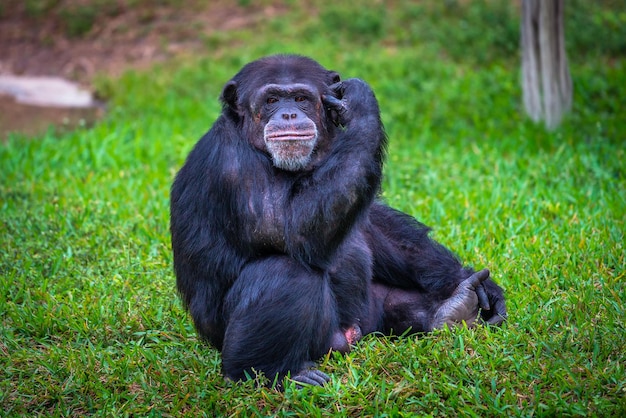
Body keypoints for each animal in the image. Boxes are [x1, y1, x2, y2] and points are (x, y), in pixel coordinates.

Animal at [168, 54, 504, 386]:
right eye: (272, 99)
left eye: (301, 99)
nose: (288, 114)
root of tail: (347, 337)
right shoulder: (231, 165)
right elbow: (292, 228)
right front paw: (359, 104)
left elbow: (367, 215)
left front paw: (475, 284)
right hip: (310, 342)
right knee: (287, 270)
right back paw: (273, 372)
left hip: (366, 316)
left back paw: (453, 310)